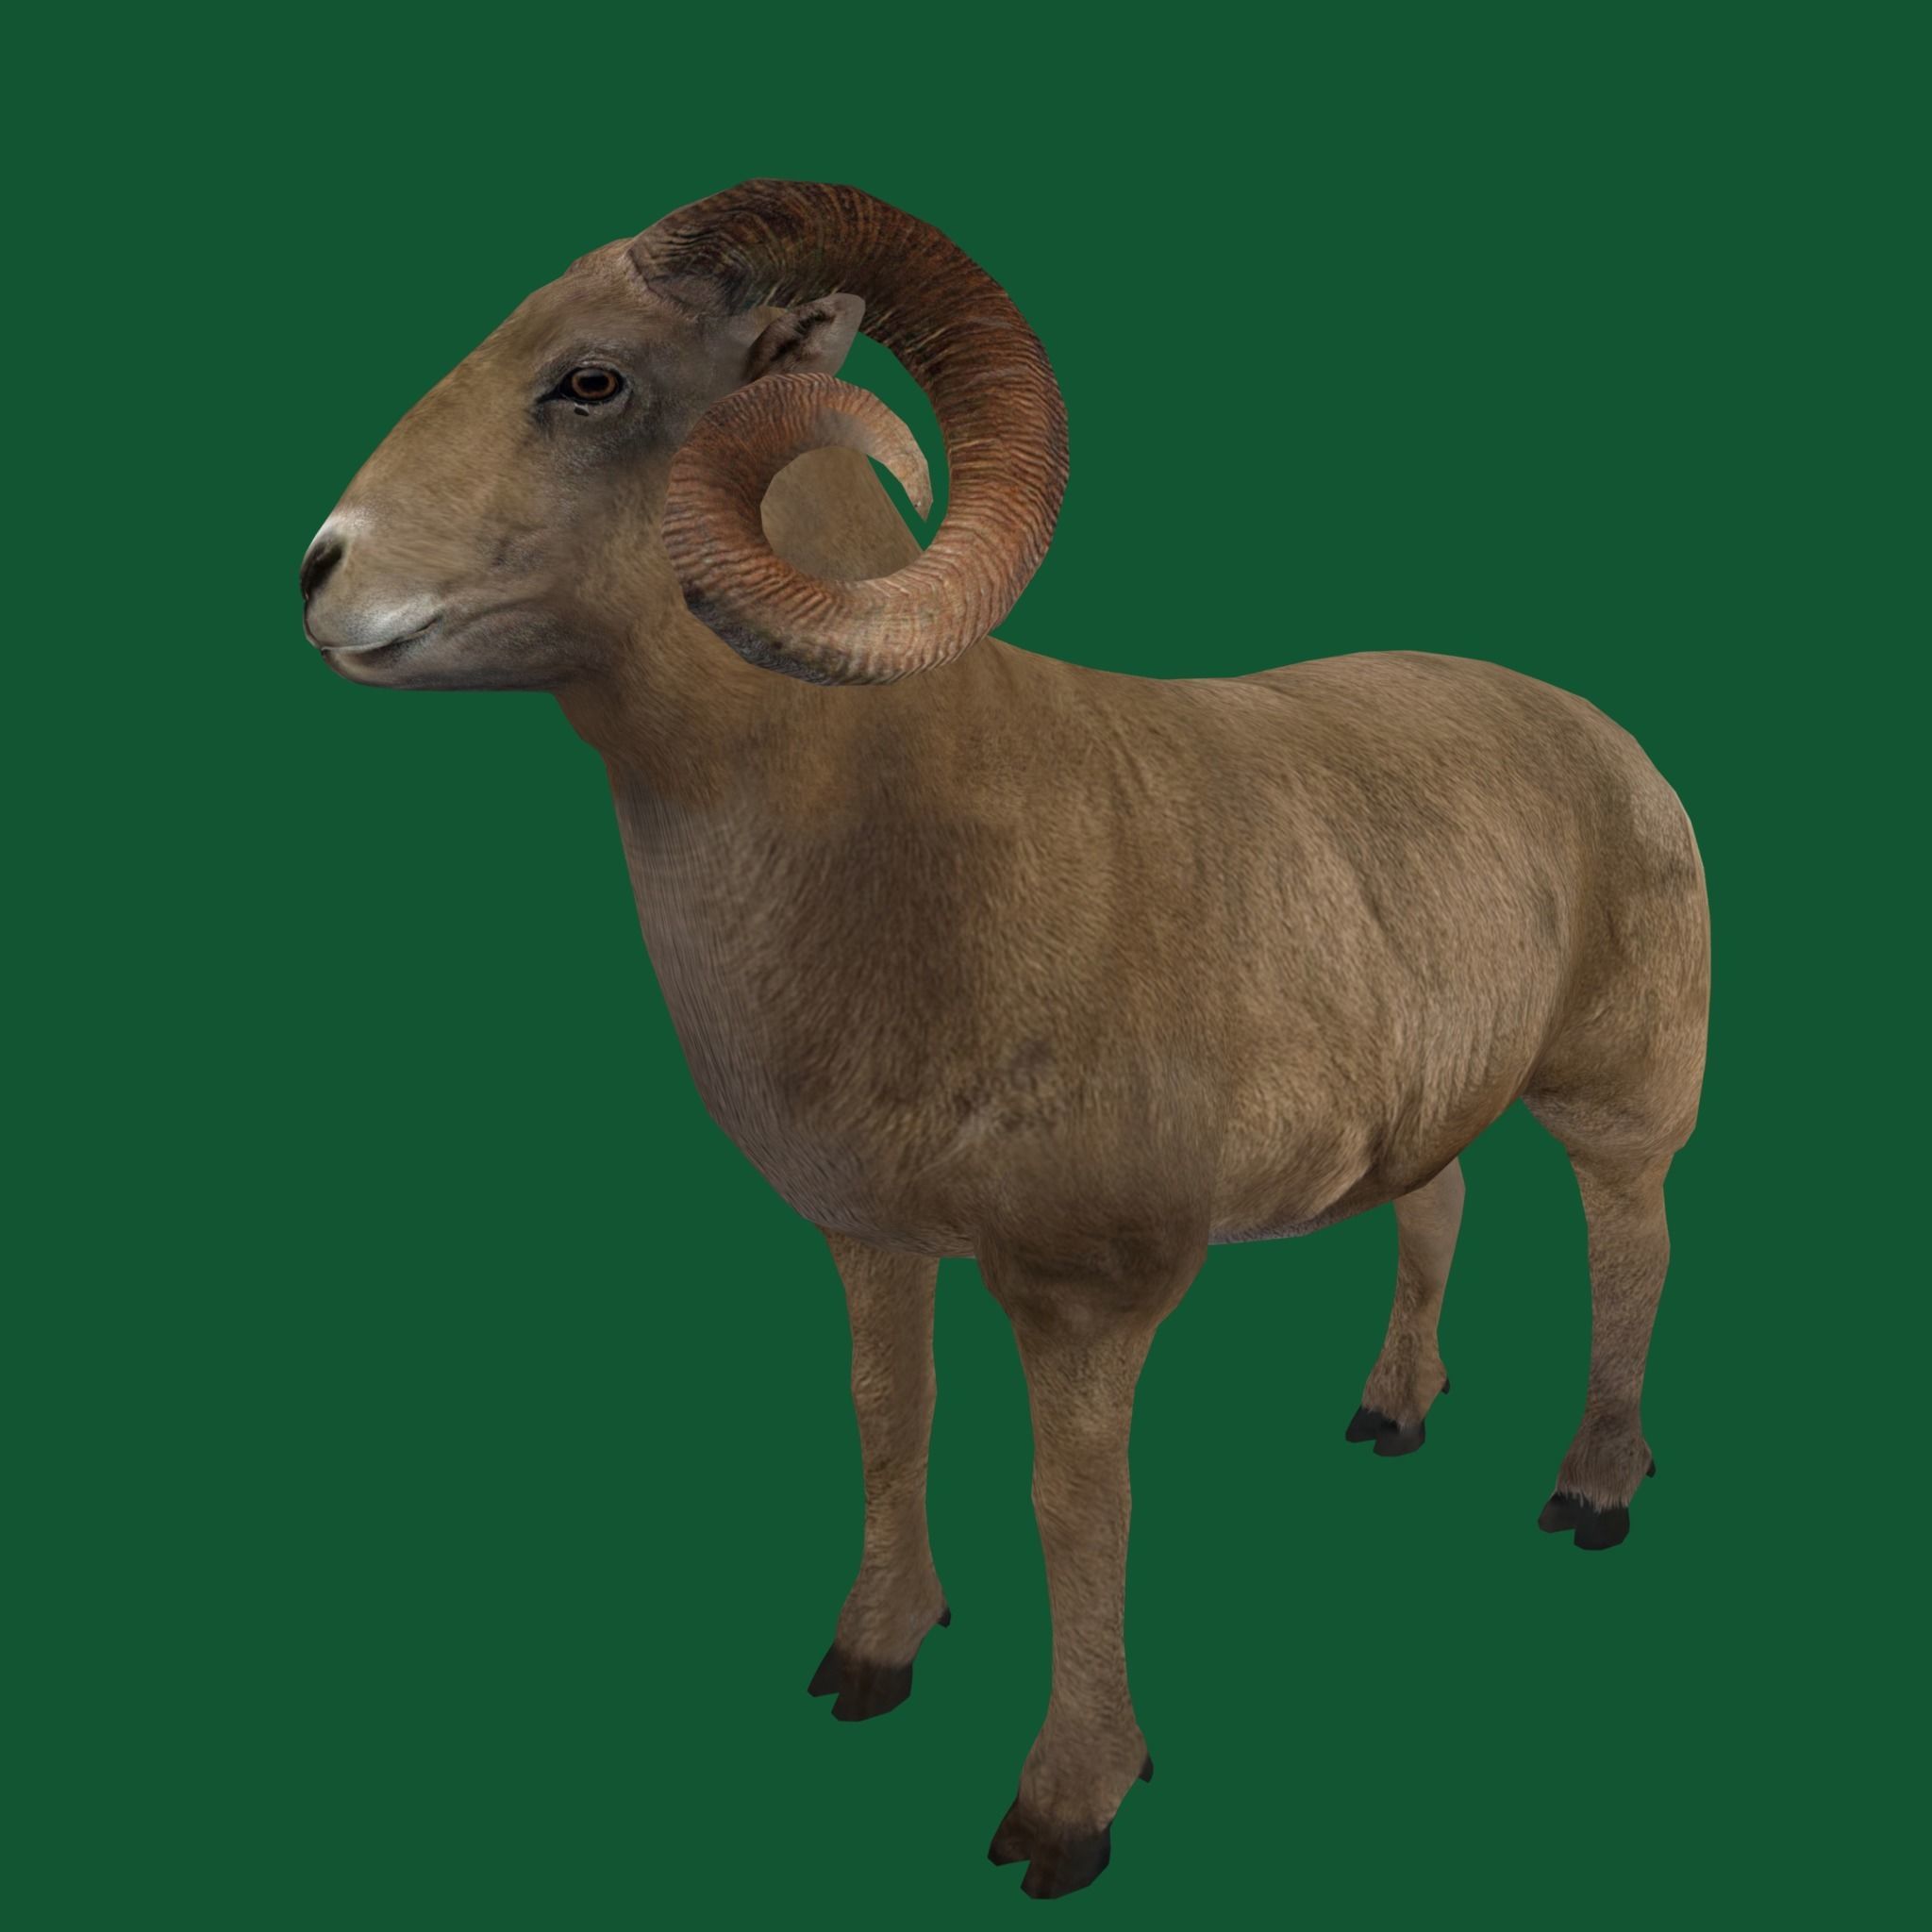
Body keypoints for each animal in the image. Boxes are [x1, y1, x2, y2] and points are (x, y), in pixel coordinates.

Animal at [300, 180, 1710, 1899]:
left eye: (593, 381)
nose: (321, 572)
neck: (910, 838)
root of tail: (1606, 734)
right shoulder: (870, 1238)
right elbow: (885, 1418)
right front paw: (873, 1658)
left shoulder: (1086, 1291)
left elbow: (1074, 1513)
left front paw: (1067, 1809)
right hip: (1421, 1102)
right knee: (1434, 1204)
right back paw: (1390, 1414)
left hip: (1623, 1093)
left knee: (1630, 1252)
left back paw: (1593, 1490)